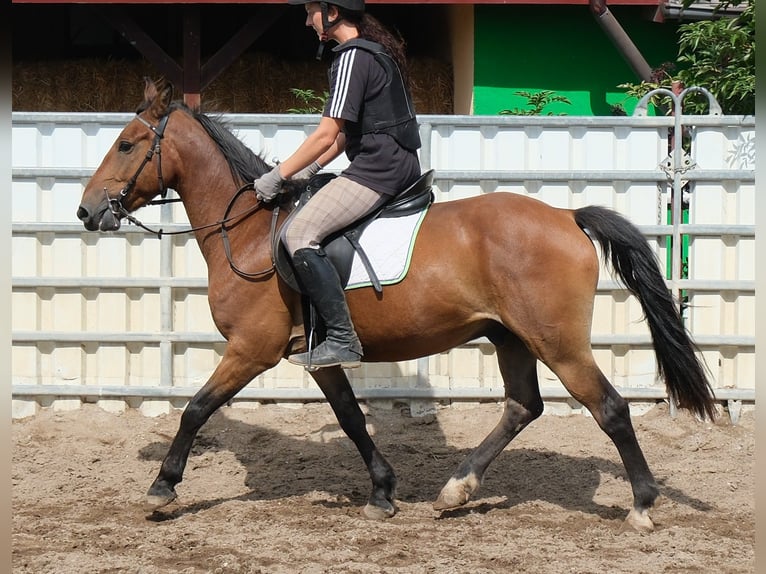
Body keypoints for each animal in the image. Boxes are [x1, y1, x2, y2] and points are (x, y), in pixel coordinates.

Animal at [77, 78, 716, 532]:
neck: (253, 230)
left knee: (609, 408)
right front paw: (383, 491)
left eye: (127, 144)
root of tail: (565, 215)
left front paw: (163, 488)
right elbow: (351, 418)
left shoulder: (251, 350)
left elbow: (195, 409)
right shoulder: (318, 354)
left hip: (556, 340)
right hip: (510, 336)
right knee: (523, 406)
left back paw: (641, 505)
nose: (87, 212)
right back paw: (456, 491)